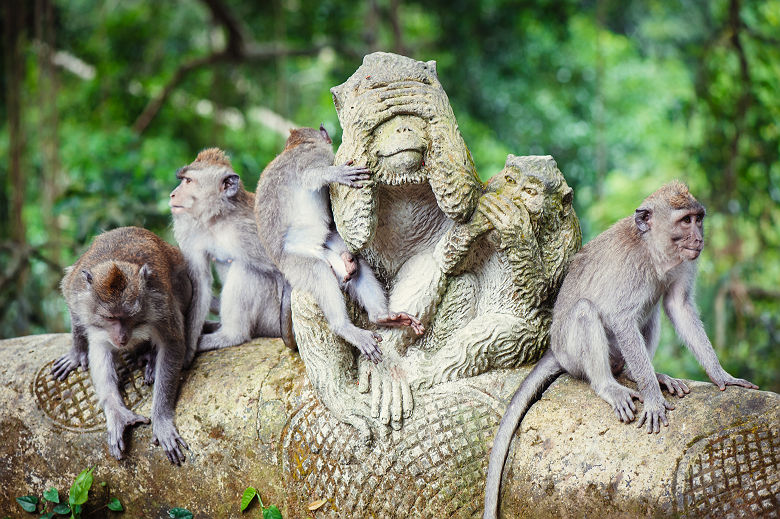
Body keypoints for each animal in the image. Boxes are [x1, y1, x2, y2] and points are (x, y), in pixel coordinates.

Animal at [53, 225, 192, 466]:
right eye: (110, 318)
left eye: (130, 317)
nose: (122, 337)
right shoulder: (77, 291)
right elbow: (76, 312)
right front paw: (77, 351)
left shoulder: (160, 304)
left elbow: (173, 343)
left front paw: (161, 419)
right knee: (100, 345)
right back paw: (118, 413)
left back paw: (150, 357)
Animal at [171, 148, 296, 356]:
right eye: (183, 179)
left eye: (188, 181)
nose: (173, 195)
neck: (220, 219)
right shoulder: (193, 232)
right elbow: (200, 283)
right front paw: (188, 350)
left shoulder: (252, 233)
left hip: (271, 320)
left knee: (247, 270)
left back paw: (232, 336)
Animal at [254, 126, 426, 364]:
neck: (296, 145)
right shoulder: (311, 155)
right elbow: (309, 176)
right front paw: (337, 174)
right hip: (295, 263)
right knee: (318, 272)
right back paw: (344, 327)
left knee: (353, 265)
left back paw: (382, 316)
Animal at [484, 182, 760, 519]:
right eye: (686, 221)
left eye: (698, 218)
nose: (699, 238)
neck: (653, 251)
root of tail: (555, 350)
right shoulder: (633, 268)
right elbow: (622, 318)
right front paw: (653, 399)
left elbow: (677, 306)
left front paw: (721, 375)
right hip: (572, 353)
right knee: (585, 311)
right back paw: (610, 385)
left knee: (651, 312)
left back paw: (639, 373)